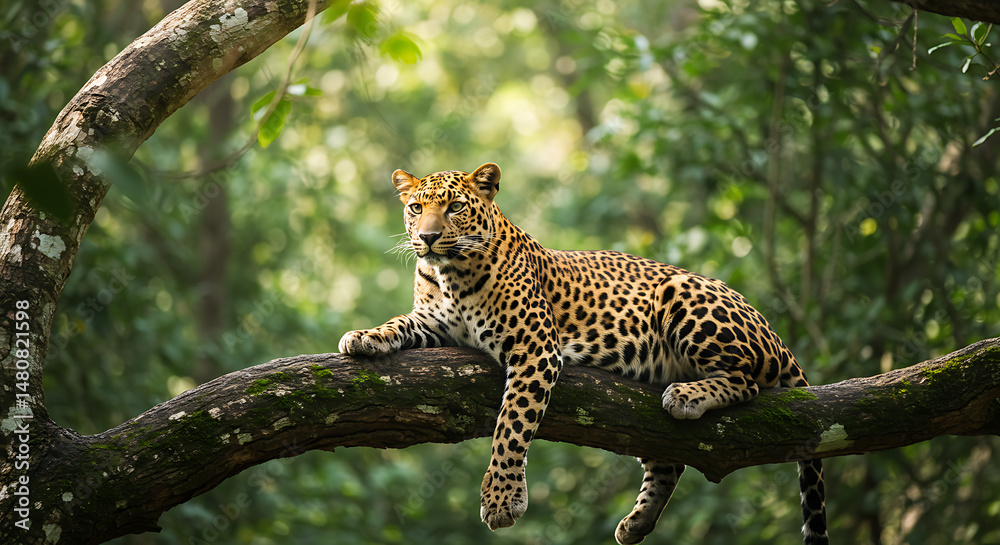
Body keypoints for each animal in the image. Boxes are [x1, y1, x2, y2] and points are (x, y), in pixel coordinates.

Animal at [338, 163, 828, 545]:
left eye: (455, 207)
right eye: (415, 208)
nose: (428, 237)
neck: (448, 273)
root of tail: (773, 331)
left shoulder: (535, 348)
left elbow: (511, 426)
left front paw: (500, 498)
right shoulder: (433, 323)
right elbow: (398, 323)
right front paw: (363, 336)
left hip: (685, 294)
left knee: (747, 380)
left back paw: (688, 394)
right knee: (667, 461)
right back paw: (636, 523)